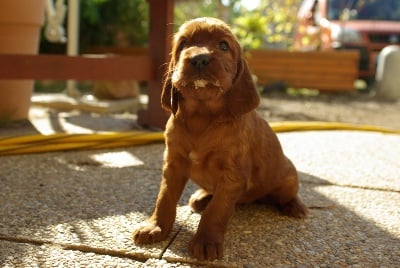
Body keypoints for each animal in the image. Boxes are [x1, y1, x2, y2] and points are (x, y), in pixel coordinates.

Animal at [133, 17, 308, 260]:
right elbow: (165, 198)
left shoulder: (231, 175)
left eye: (224, 46)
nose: (199, 58)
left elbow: (217, 210)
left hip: (288, 178)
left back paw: (296, 207)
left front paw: (205, 242)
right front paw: (155, 227)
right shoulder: (173, 164)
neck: (201, 117)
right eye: (184, 44)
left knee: (288, 194)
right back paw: (201, 197)